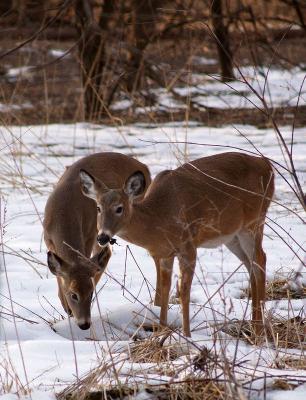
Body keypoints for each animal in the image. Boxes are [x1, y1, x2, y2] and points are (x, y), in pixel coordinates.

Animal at [43, 152, 151, 330]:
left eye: (91, 293)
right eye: (73, 294)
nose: (84, 324)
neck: (64, 213)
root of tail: (144, 166)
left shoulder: (88, 236)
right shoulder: (48, 240)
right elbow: (59, 275)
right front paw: (65, 306)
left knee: (106, 253)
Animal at [79, 153, 274, 338]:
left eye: (119, 208)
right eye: (98, 208)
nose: (102, 237)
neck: (159, 216)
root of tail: (267, 165)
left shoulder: (188, 246)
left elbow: (183, 292)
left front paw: (187, 336)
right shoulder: (165, 254)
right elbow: (164, 291)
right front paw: (160, 333)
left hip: (254, 222)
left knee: (260, 259)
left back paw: (259, 330)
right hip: (232, 237)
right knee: (251, 265)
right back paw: (254, 325)